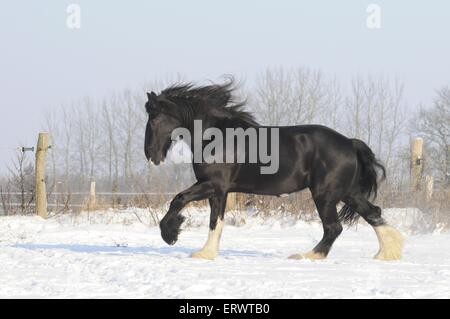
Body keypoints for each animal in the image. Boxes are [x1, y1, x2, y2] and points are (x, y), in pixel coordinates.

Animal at [144, 80, 404, 262]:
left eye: (154, 118)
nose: (150, 155)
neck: (217, 135)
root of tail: (350, 143)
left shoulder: (212, 184)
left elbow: (179, 199)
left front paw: (171, 234)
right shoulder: (220, 191)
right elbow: (215, 222)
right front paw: (206, 253)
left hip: (325, 195)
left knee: (334, 228)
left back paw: (306, 256)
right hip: (347, 193)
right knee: (373, 213)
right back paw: (387, 253)